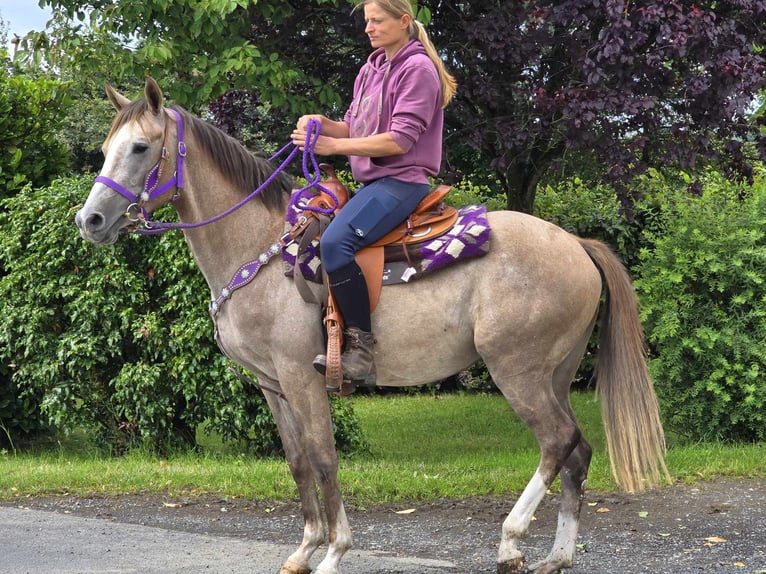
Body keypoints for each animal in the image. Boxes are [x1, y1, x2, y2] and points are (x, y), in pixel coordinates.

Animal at [75, 77, 668, 574]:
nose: (90, 221)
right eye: (105, 148)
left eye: (141, 147)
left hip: (516, 370)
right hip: (556, 373)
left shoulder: (302, 376)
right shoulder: (271, 384)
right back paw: (557, 556)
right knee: (577, 452)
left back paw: (511, 541)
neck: (260, 249)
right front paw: (304, 550)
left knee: (556, 442)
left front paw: (334, 553)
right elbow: (298, 462)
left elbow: (323, 457)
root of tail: (576, 244)